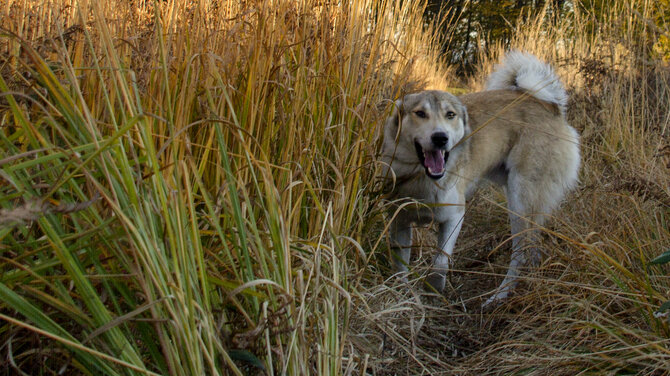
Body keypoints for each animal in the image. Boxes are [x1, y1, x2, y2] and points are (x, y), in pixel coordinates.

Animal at [384, 51, 584, 306]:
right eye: (420, 113)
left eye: (450, 115)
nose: (441, 138)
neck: (423, 177)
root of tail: (547, 105)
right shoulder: (399, 221)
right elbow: (400, 267)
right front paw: (402, 296)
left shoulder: (454, 217)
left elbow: (440, 261)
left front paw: (433, 291)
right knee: (533, 249)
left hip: (520, 201)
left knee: (522, 253)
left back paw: (500, 296)